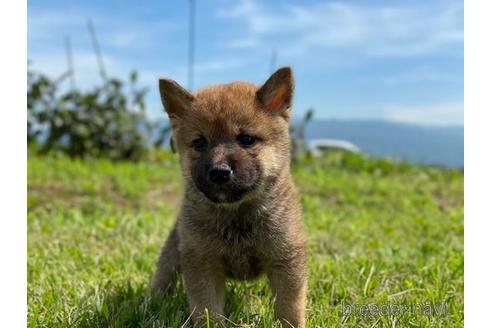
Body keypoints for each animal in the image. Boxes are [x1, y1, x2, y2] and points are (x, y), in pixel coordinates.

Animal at [153, 67, 308, 328]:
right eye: (200, 143)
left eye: (246, 139)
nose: (219, 171)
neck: (236, 216)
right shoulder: (202, 264)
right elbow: (207, 309)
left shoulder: (285, 260)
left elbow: (290, 308)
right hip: (173, 252)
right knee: (161, 278)